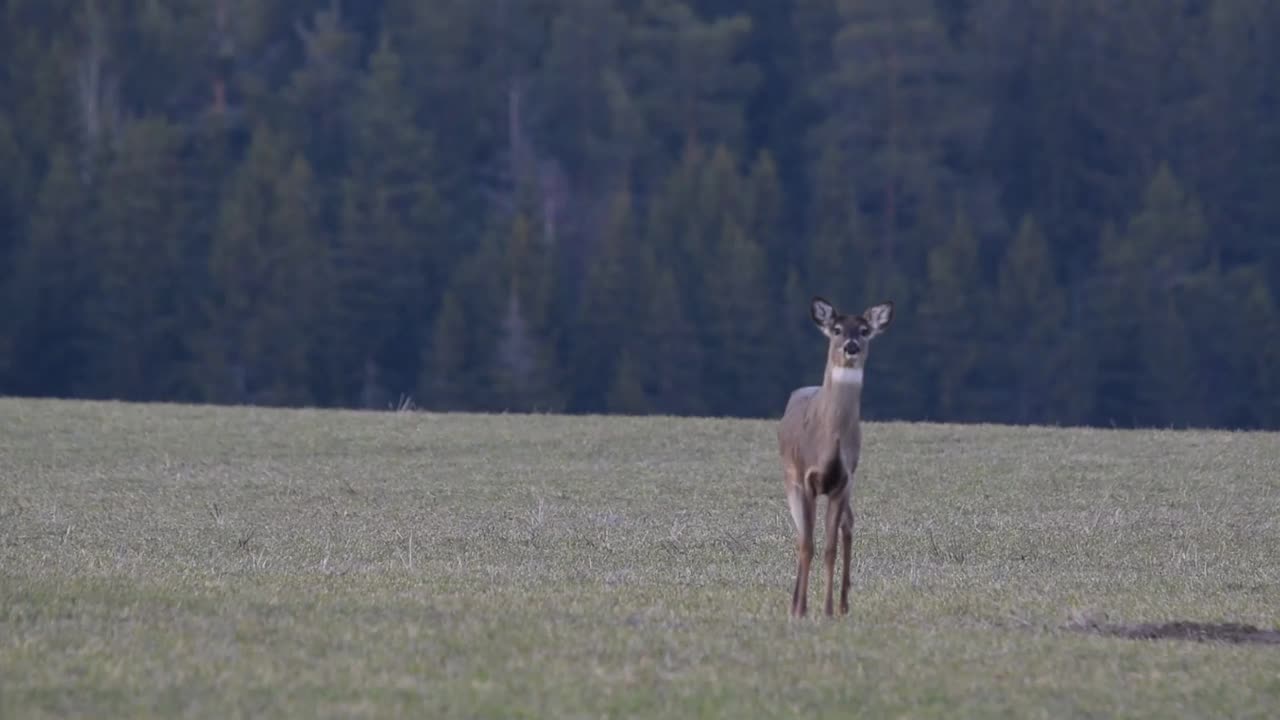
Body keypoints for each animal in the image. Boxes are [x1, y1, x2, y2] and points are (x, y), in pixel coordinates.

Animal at [773, 294, 896, 614]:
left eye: (865, 330)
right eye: (837, 329)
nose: (851, 346)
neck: (827, 444)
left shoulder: (844, 481)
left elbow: (829, 548)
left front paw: (827, 609)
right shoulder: (806, 480)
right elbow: (808, 545)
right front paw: (801, 609)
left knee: (847, 527)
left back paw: (843, 604)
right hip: (790, 481)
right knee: (801, 536)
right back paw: (796, 602)